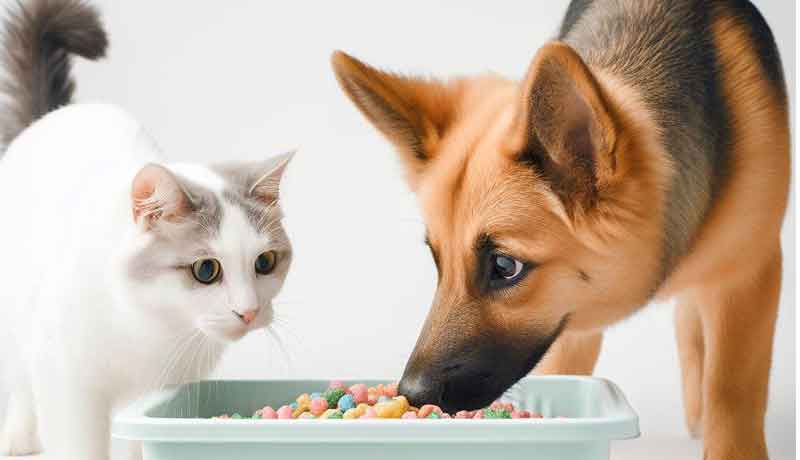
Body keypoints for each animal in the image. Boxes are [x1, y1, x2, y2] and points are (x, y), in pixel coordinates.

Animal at [0, 1, 294, 458]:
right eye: (206, 270)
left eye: (265, 263)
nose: (248, 311)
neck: (151, 325)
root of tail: (52, 115)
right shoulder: (68, 383)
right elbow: (79, 443)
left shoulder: (160, 391)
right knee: (19, 381)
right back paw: (18, 436)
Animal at [332, 0, 788, 456]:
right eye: (436, 259)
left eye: (504, 266)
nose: (411, 393)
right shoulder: (568, 321)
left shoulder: (749, 278)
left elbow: (732, 388)